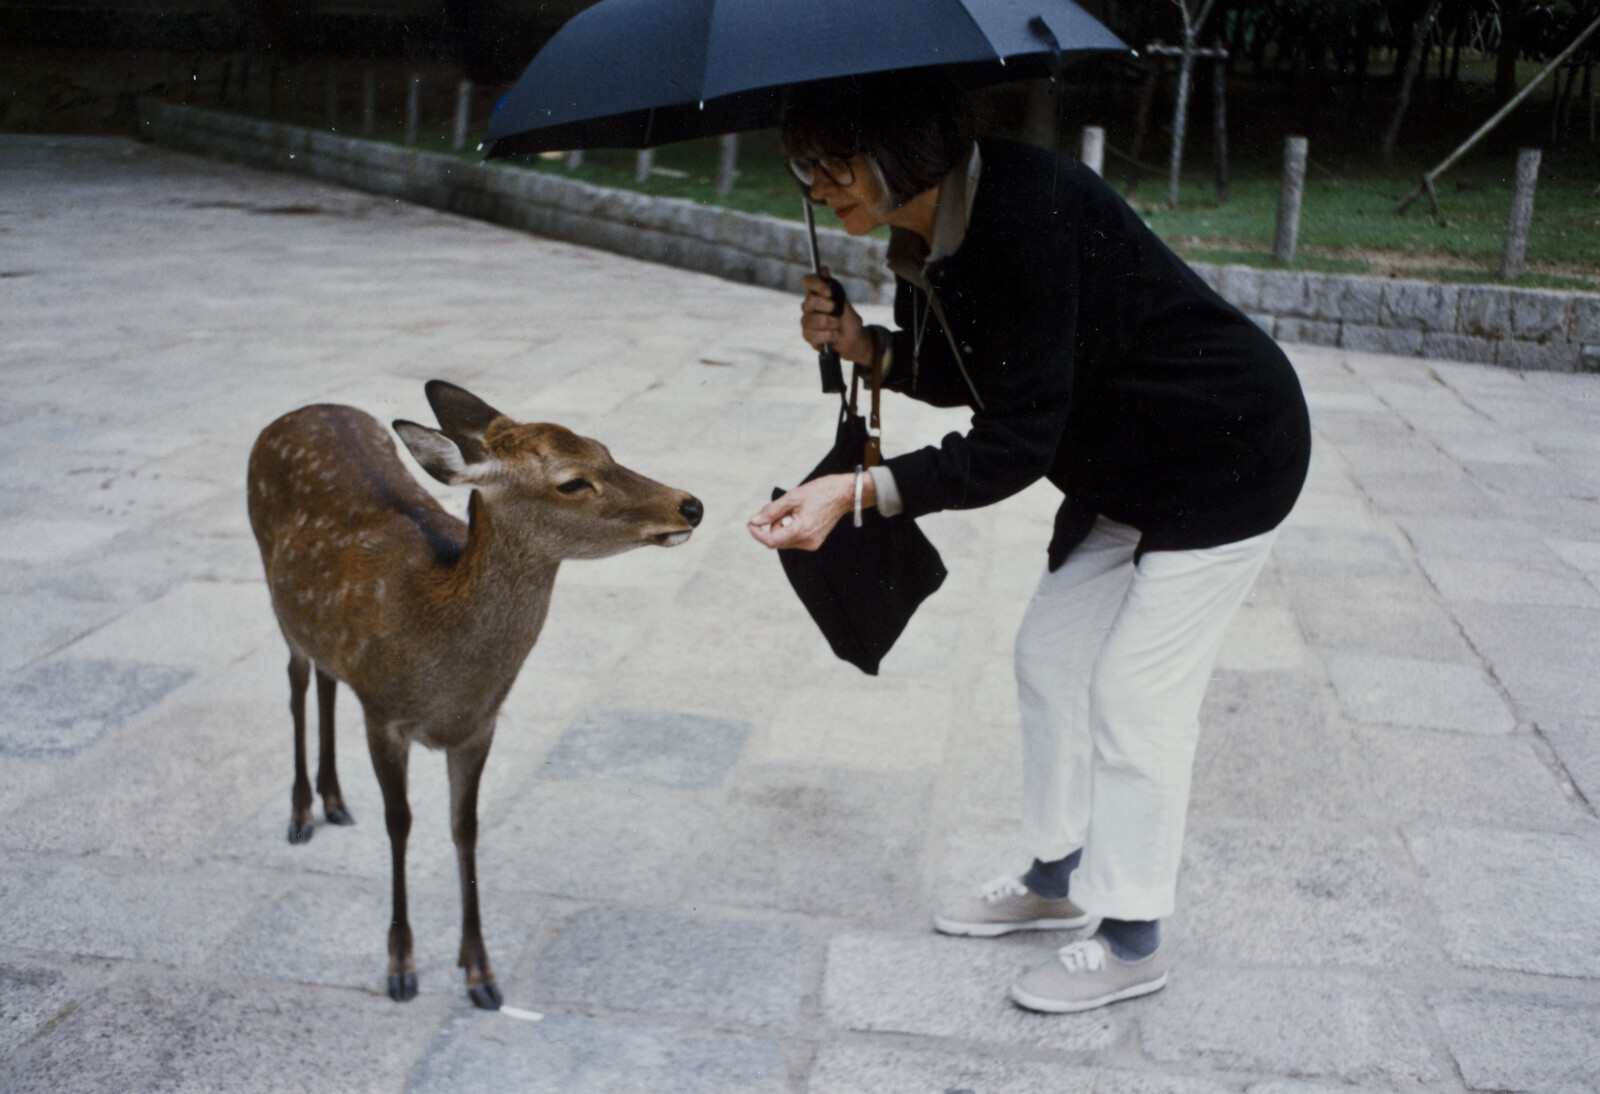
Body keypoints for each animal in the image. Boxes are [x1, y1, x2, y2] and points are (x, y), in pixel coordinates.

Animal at [246, 377, 704, 1010]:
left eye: (604, 448)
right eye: (571, 481)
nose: (690, 505)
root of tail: (298, 412)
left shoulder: (479, 727)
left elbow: (465, 828)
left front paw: (479, 971)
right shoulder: (384, 715)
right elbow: (400, 822)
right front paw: (401, 966)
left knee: (326, 679)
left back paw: (335, 799)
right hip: (277, 600)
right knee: (295, 683)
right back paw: (301, 813)